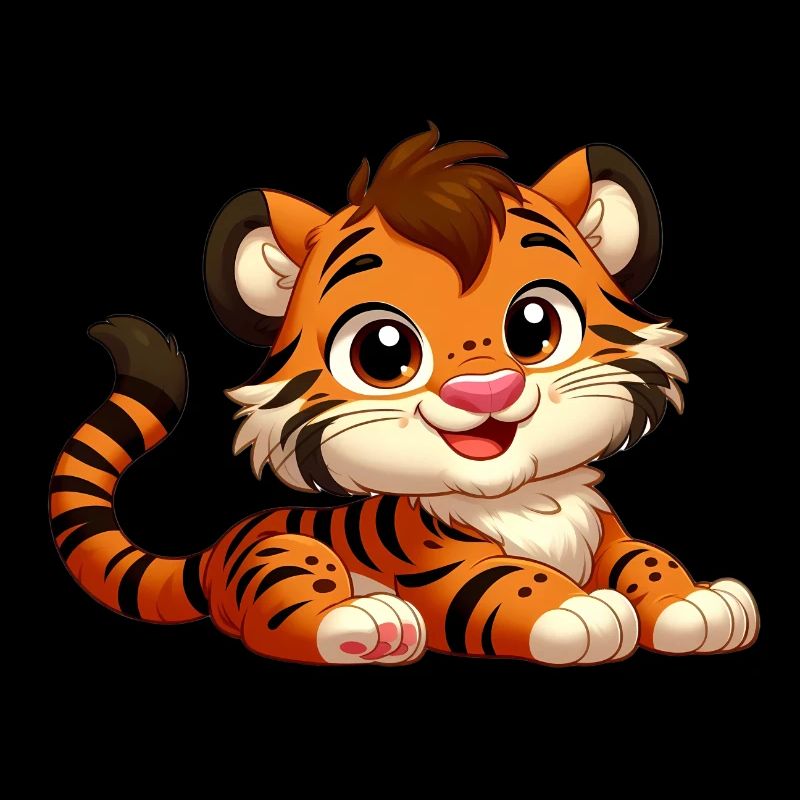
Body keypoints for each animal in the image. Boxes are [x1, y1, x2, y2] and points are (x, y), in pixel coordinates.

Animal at [50, 125, 758, 665]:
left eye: (535, 326)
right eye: (385, 352)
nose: (486, 390)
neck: (527, 502)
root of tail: (220, 545)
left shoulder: (606, 533)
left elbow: (647, 558)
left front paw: (696, 601)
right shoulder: (442, 569)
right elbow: (513, 581)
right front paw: (579, 609)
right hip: (284, 553)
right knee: (281, 616)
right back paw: (369, 623)